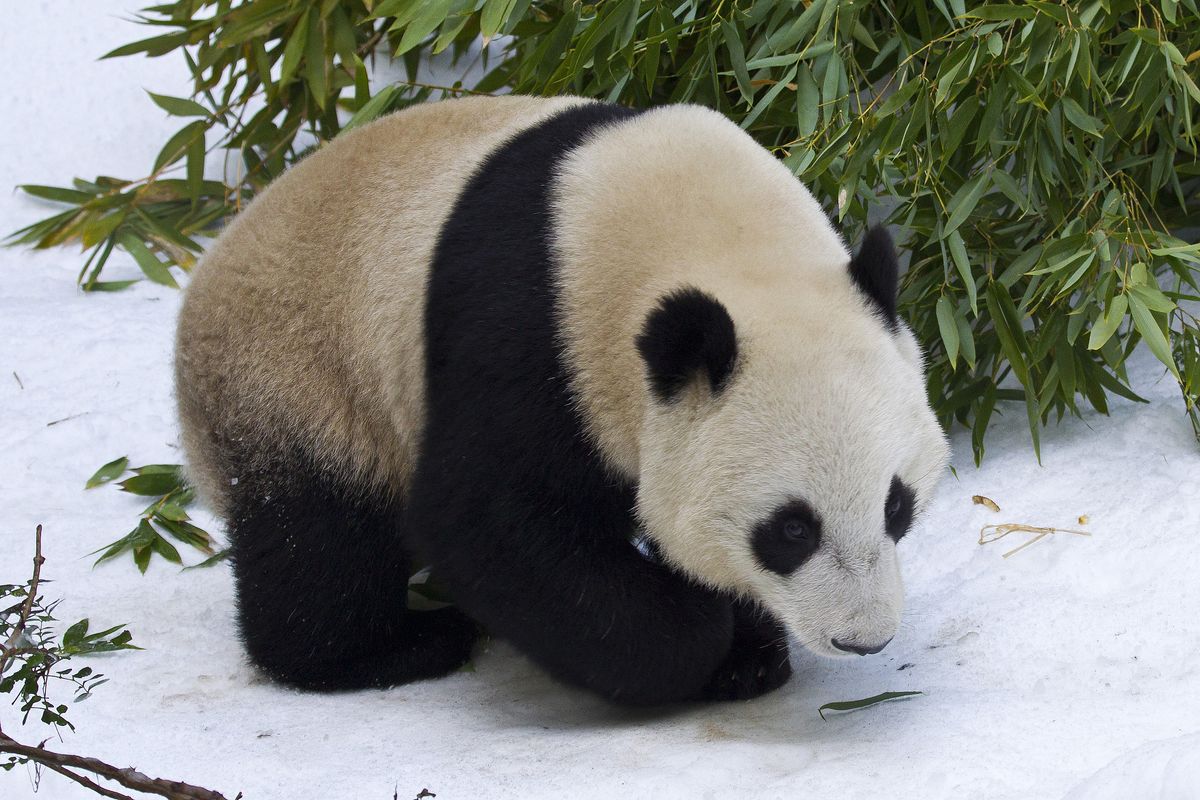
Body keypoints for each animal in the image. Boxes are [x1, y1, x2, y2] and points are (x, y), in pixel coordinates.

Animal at [175, 95, 945, 705]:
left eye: (897, 506)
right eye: (791, 530)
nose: (864, 639)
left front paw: (747, 650)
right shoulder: (532, 338)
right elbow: (490, 522)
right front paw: (706, 638)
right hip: (300, 377)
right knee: (319, 543)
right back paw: (398, 647)